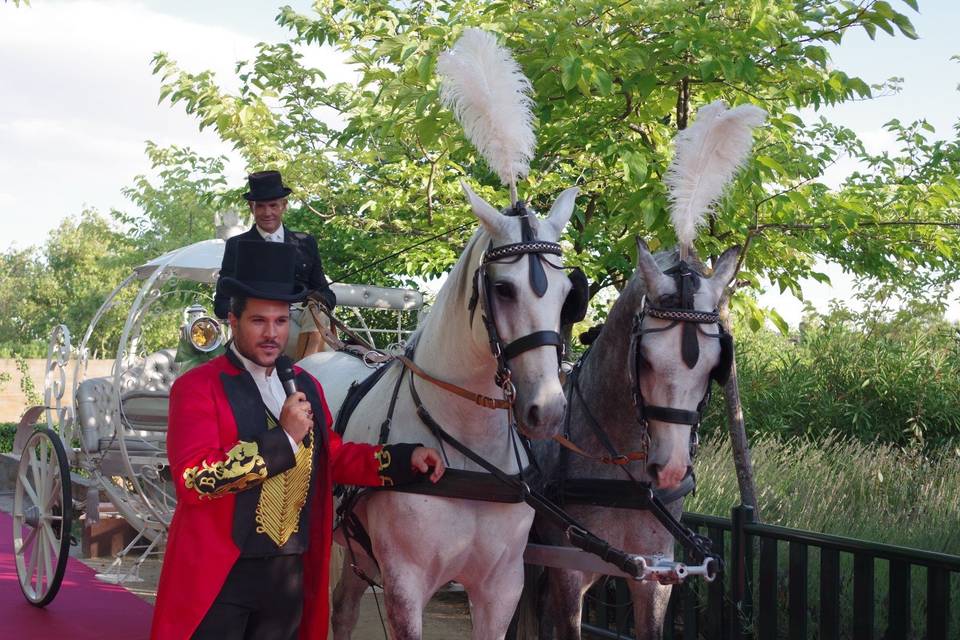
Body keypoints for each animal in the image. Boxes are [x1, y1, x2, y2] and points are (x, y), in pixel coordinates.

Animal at [302, 182, 576, 636]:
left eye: (568, 293)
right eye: (504, 289)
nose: (549, 410)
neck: (471, 457)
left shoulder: (501, 589)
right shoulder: (405, 584)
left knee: (343, 608)